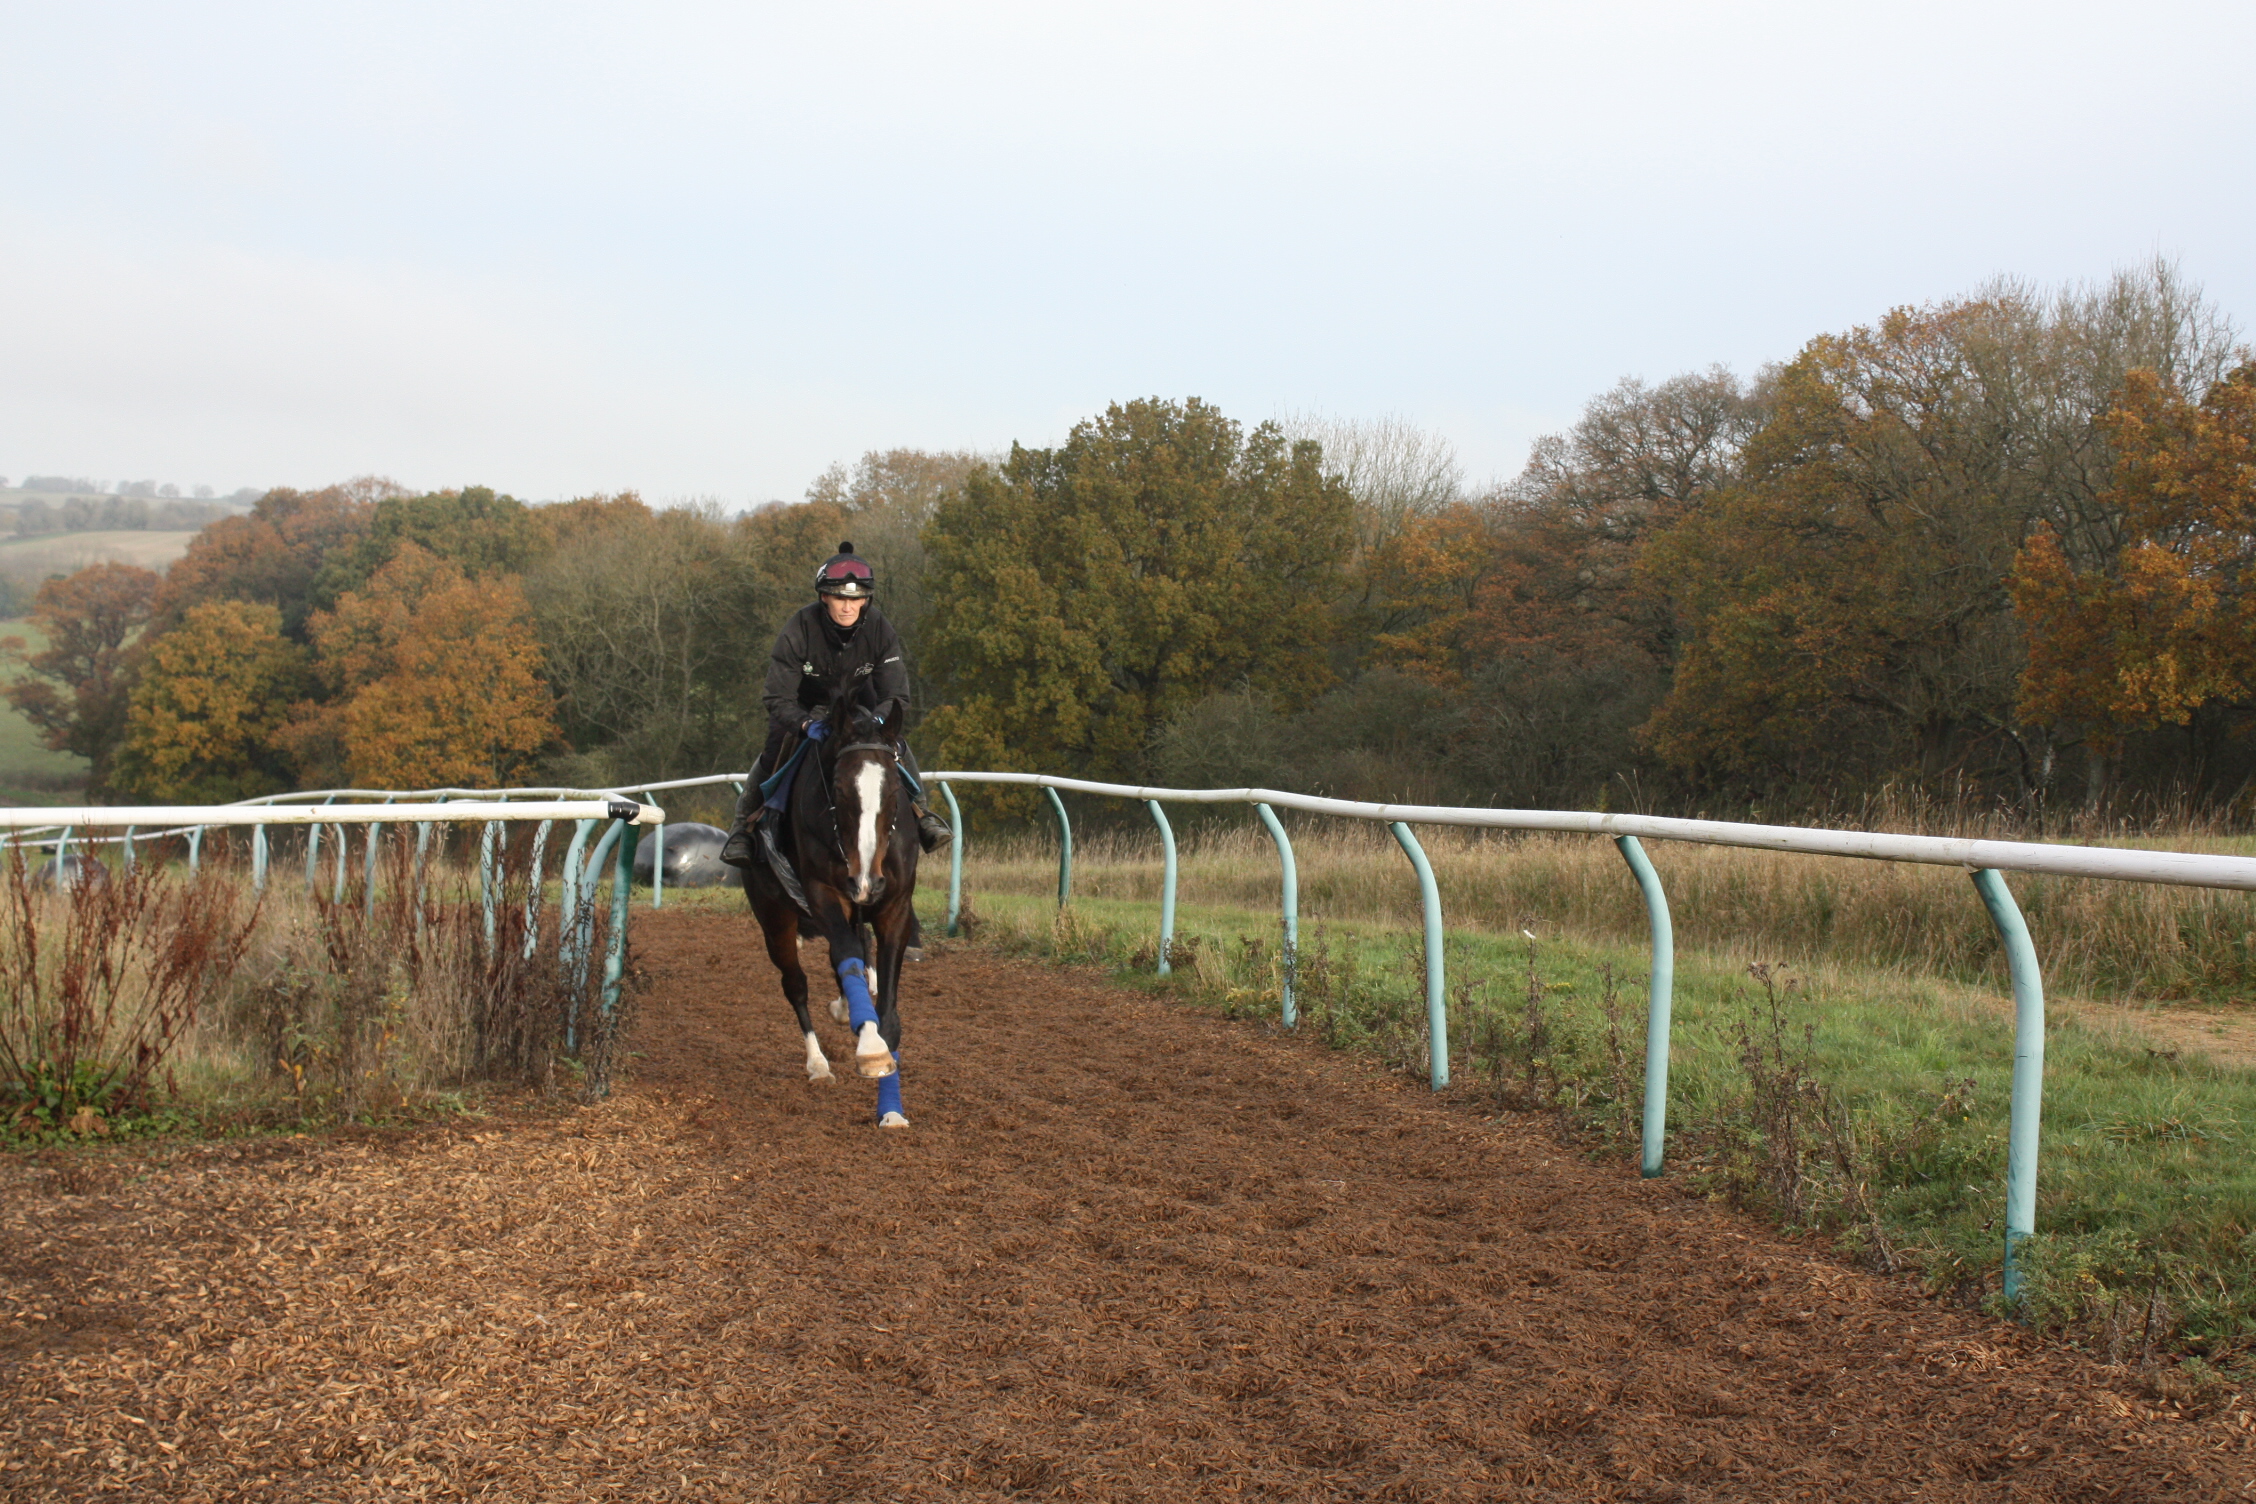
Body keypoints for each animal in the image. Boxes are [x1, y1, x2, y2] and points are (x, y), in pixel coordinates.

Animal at [739, 680, 915, 1127]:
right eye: (838, 789)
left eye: (893, 790)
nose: (865, 880)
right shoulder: (823, 895)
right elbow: (846, 957)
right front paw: (869, 1047)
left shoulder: (895, 905)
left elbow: (889, 1012)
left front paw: (891, 1110)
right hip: (775, 918)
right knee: (797, 984)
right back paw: (818, 1063)